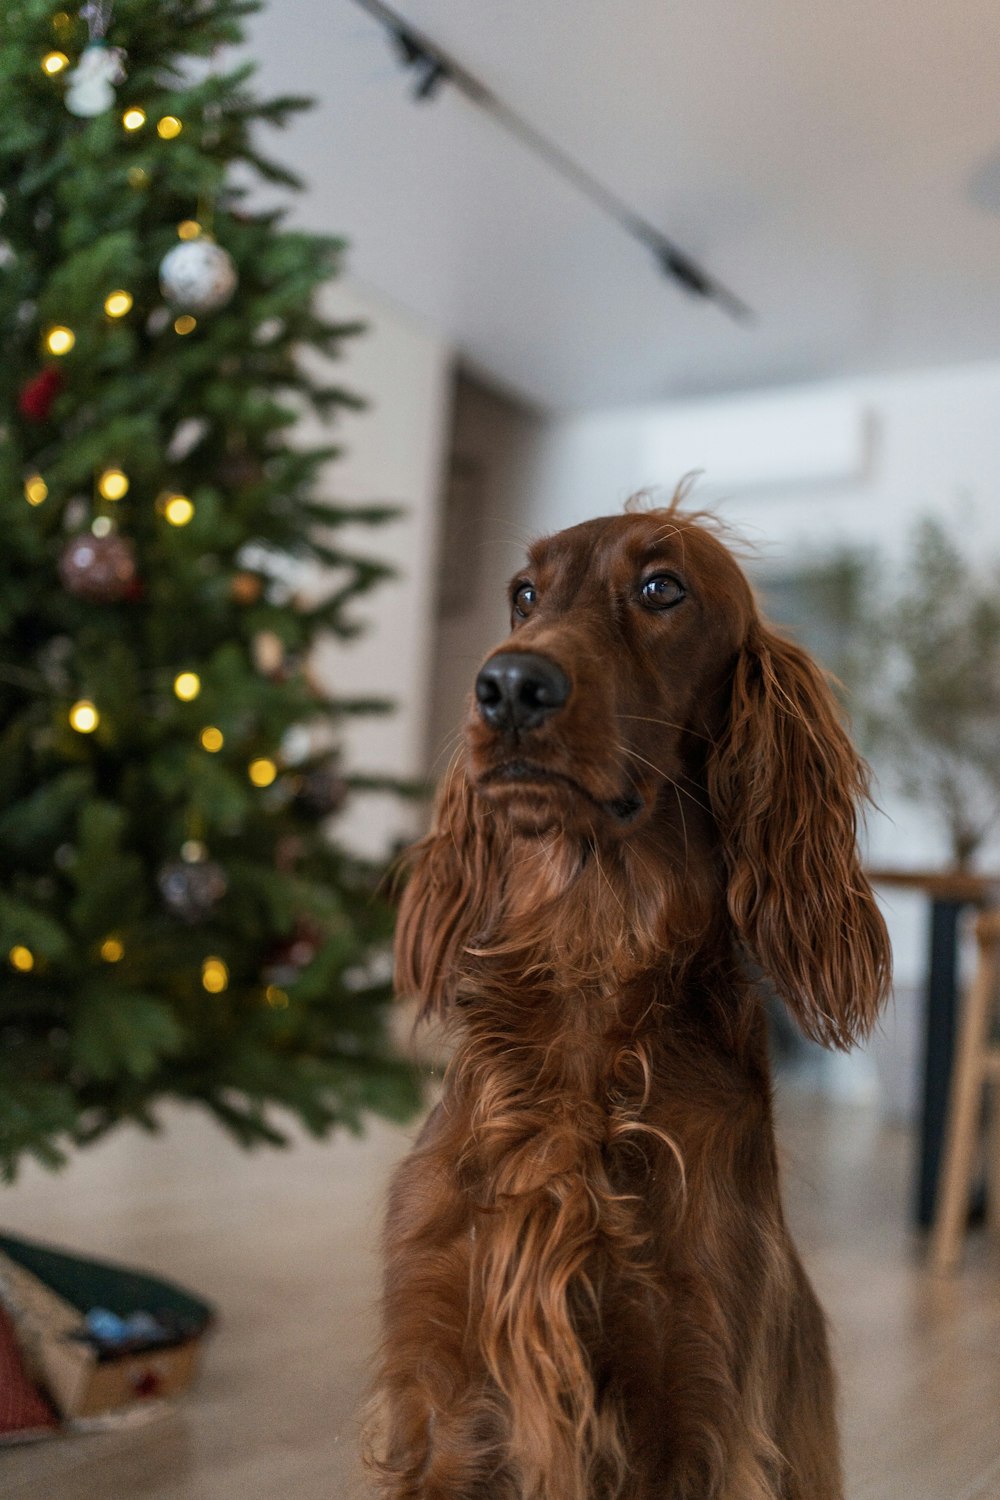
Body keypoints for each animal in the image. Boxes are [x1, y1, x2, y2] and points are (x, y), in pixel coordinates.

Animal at [370, 504, 893, 1500]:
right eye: (523, 594)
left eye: (662, 588)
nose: (509, 686)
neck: (592, 956)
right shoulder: (445, 1400)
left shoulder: (696, 1406)